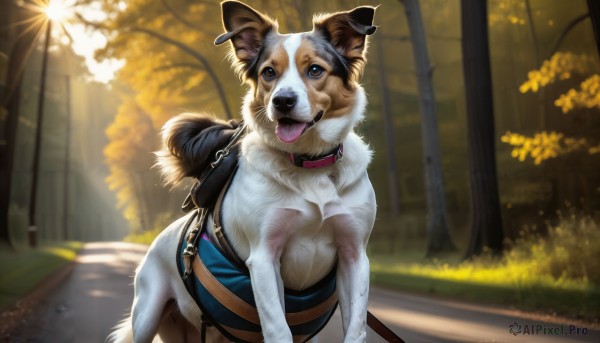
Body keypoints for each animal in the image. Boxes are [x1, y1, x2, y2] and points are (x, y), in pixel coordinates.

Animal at [109, 1, 376, 342]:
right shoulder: (264, 258)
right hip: (146, 316)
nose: (282, 101)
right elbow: (278, 328)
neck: (308, 163)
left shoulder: (355, 255)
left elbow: (356, 327)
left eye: (315, 69)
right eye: (269, 72)